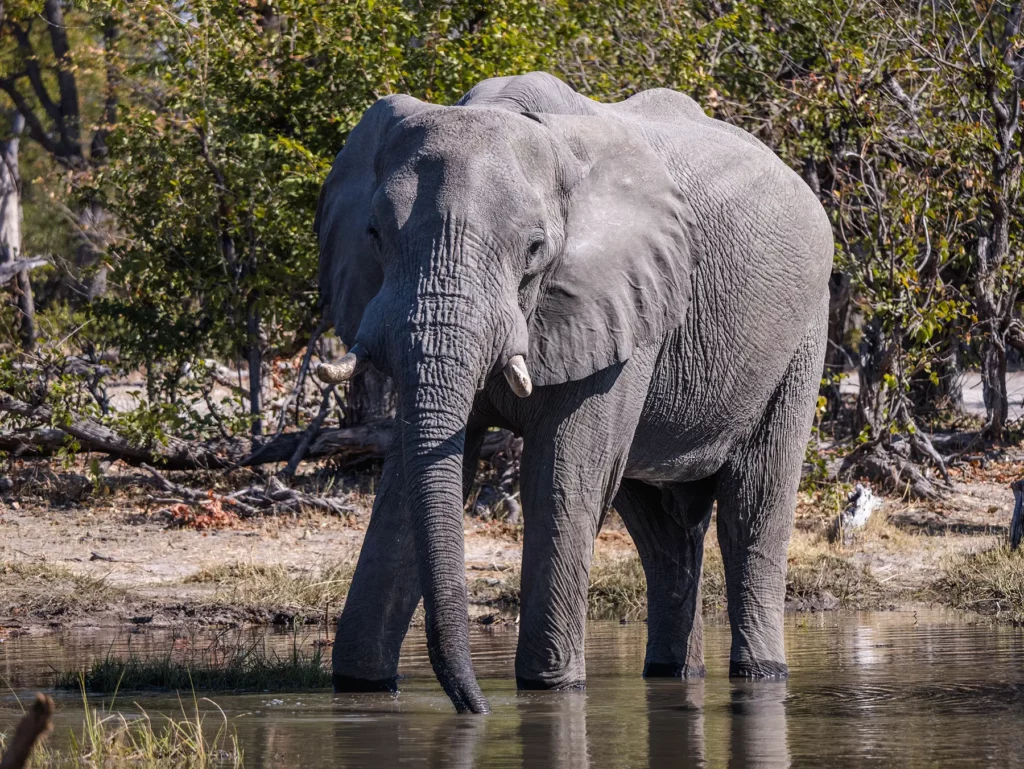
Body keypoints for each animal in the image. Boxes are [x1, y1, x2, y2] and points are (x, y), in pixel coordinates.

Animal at [314, 71, 832, 714]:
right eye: (374, 235)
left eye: (535, 249)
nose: (476, 708)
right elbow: (407, 484)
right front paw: (360, 687)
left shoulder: (625, 306)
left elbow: (562, 478)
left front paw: (549, 689)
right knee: (661, 530)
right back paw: (672, 673)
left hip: (802, 330)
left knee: (751, 508)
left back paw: (760, 674)